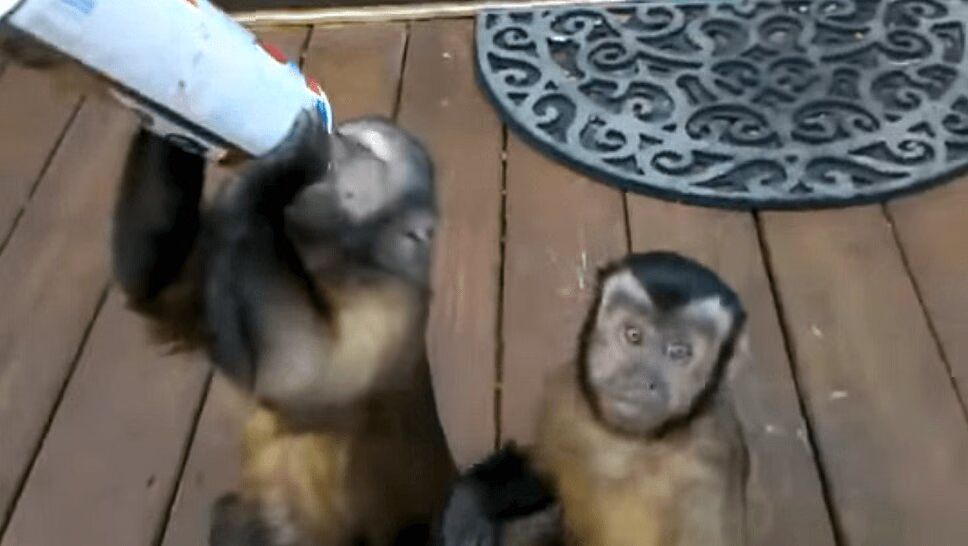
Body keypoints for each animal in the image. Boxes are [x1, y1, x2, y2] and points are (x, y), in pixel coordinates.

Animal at [111, 110, 456, 545]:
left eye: (363, 148)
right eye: (344, 133)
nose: (332, 136)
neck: (331, 260)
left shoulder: (393, 305)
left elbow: (296, 372)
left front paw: (279, 170)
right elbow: (156, 293)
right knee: (236, 516)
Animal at [439, 252, 749, 546]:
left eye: (678, 351)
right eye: (633, 335)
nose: (640, 378)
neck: (631, 444)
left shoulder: (709, 466)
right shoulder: (564, 398)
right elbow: (544, 473)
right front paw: (473, 500)